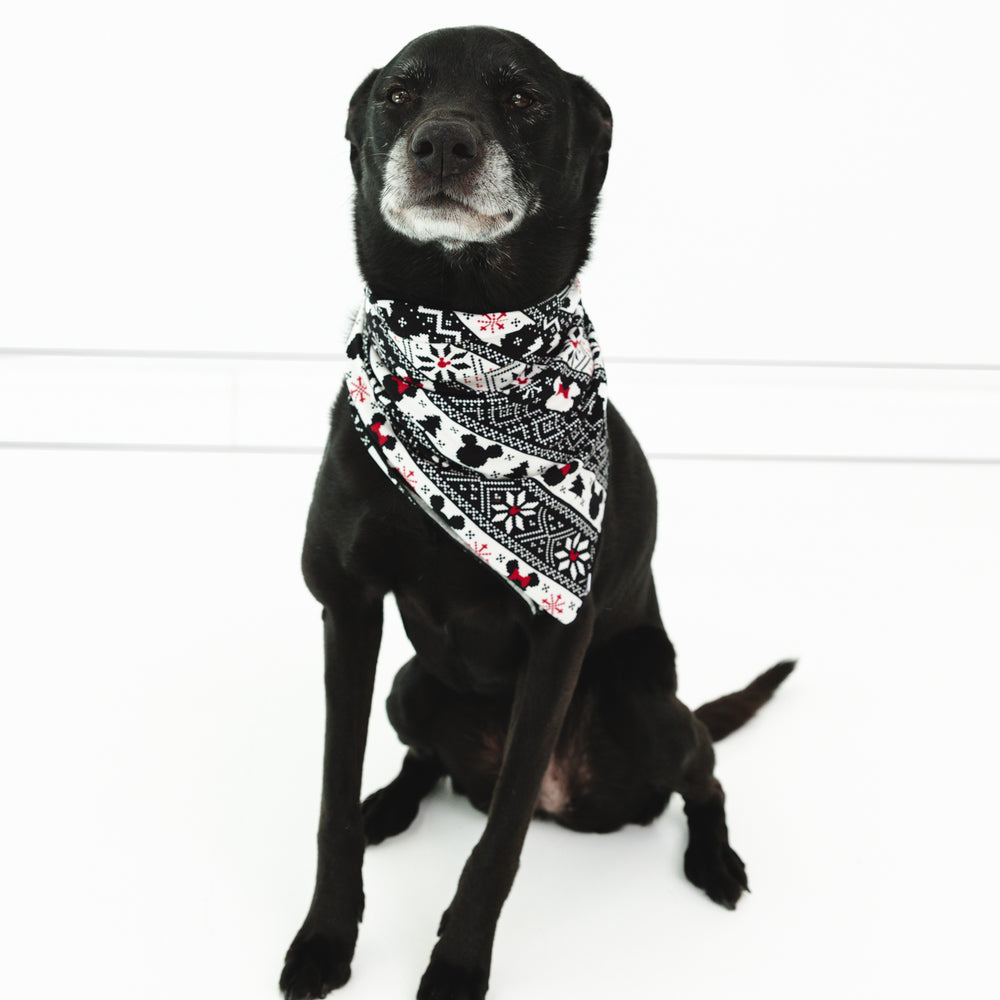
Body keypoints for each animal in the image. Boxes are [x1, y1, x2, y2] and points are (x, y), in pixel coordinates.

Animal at [278, 23, 792, 1000]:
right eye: (399, 93)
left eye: (522, 98)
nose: (443, 142)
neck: (466, 335)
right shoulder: (347, 609)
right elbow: (326, 801)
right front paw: (325, 937)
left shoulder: (559, 638)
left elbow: (500, 840)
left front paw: (454, 967)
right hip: (412, 688)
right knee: (424, 759)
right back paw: (390, 805)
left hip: (648, 709)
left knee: (702, 776)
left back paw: (714, 861)